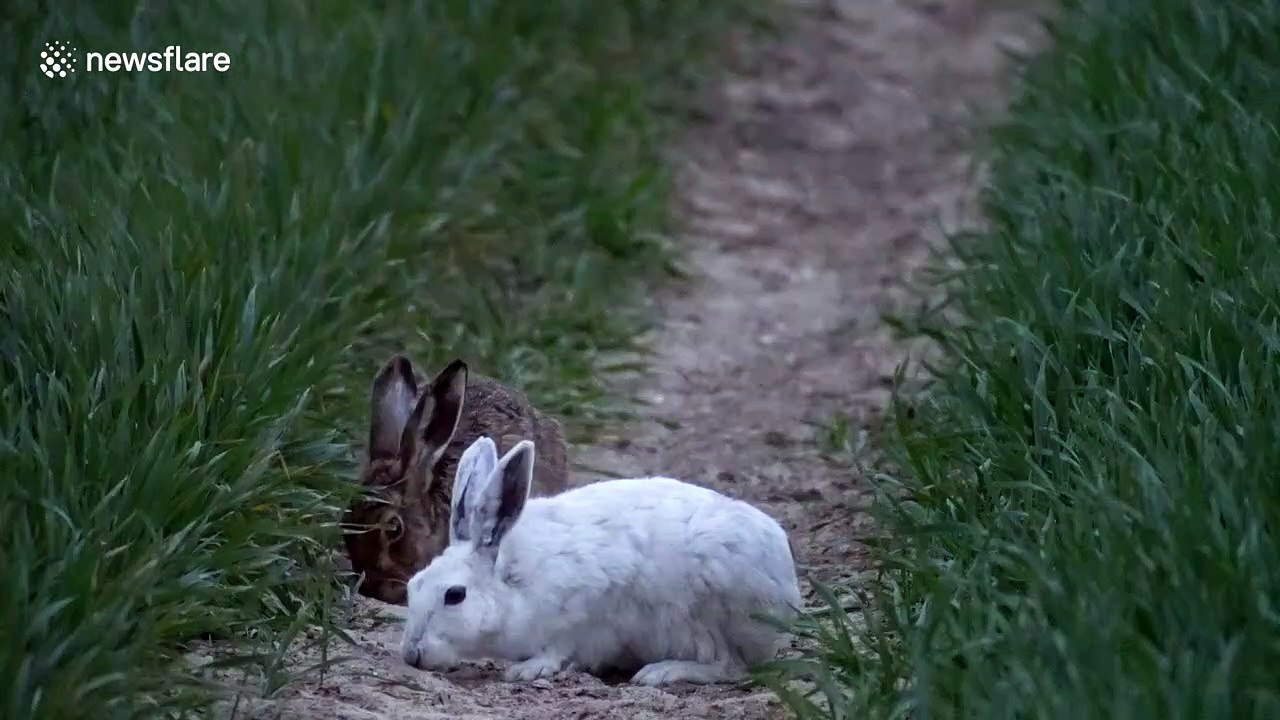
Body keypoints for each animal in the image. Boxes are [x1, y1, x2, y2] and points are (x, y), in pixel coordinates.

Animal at [399, 436, 803, 686]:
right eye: (412, 586)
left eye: (454, 595)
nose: (410, 654)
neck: (513, 580)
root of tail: (788, 594)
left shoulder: (584, 606)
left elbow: (562, 647)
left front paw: (529, 669)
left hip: (718, 608)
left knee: (731, 666)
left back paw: (660, 673)